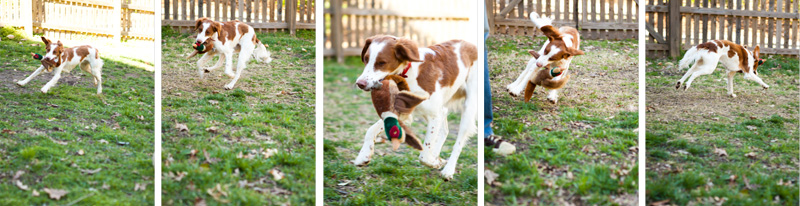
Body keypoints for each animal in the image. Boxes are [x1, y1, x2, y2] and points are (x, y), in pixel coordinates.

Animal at [354, 35, 478, 180]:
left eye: (381, 63)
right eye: (366, 59)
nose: (360, 83)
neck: (409, 74)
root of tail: (472, 44)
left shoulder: (433, 115)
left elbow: (424, 155)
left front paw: (435, 162)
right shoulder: (402, 110)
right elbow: (370, 130)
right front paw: (363, 155)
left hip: (468, 108)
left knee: (458, 142)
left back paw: (448, 170)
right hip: (441, 107)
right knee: (444, 130)